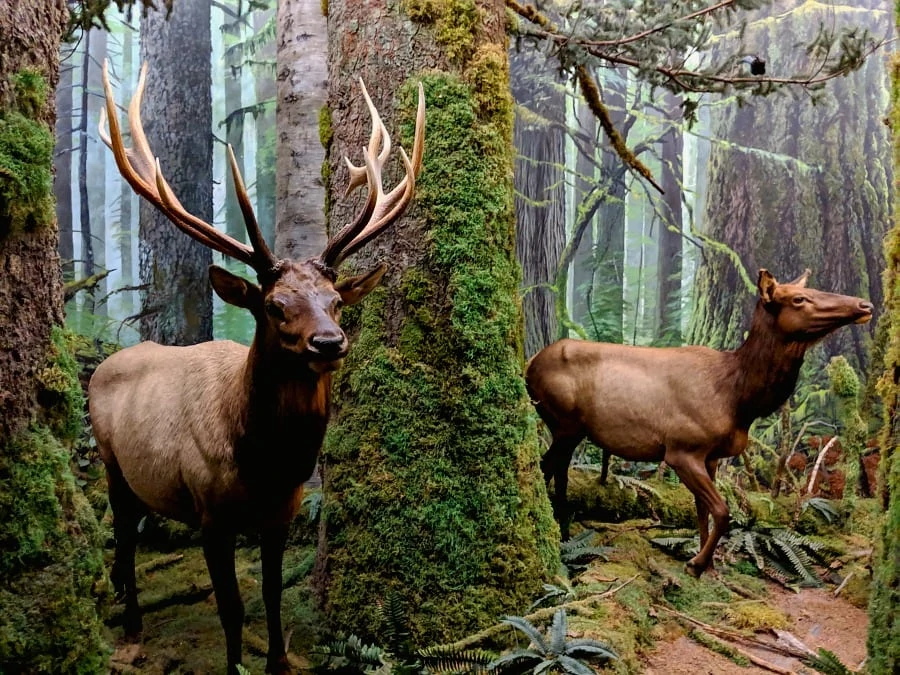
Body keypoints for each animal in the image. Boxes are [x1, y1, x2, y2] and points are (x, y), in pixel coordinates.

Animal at [89, 60, 428, 672]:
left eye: (335, 300)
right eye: (274, 305)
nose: (329, 342)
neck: (263, 462)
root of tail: (108, 362)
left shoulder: (282, 511)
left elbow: (270, 596)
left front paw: (276, 661)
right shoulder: (211, 515)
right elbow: (231, 608)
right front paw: (236, 663)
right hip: (110, 461)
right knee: (124, 535)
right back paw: (130, 626)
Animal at [528, 272, 872, 580]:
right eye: (798, 299)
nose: (865, 304)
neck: (740, 401)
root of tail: (530, 365)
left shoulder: (713, 456)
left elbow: (701, 511)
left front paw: (707, 564)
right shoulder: (682, 449)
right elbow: (722, 511)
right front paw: (696, 564)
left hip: (572, 430)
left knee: (558, 471)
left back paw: (564, 529)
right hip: (563, 421)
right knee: (544, 467)